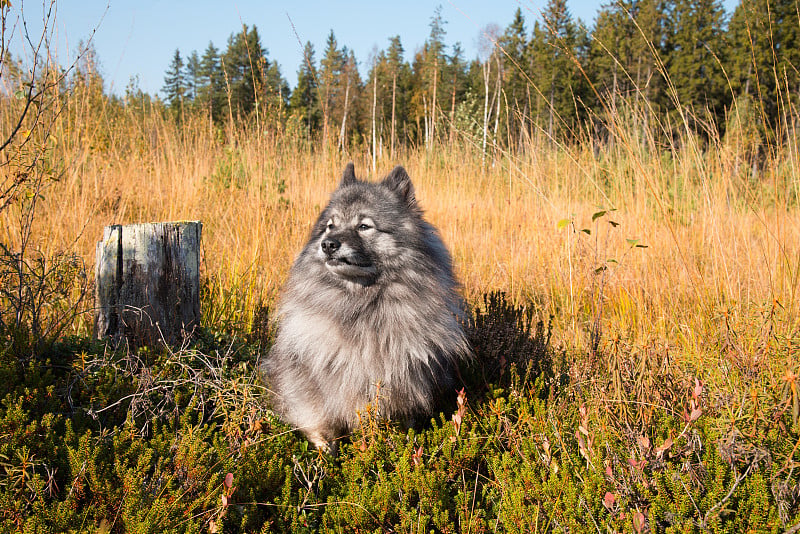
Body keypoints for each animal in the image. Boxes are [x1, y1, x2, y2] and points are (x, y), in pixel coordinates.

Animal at [262, 163, 472, 452]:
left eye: (364, 226)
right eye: (330, 226)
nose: (328, 244)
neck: (363, 302)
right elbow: (323, 421)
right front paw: (327, 450)